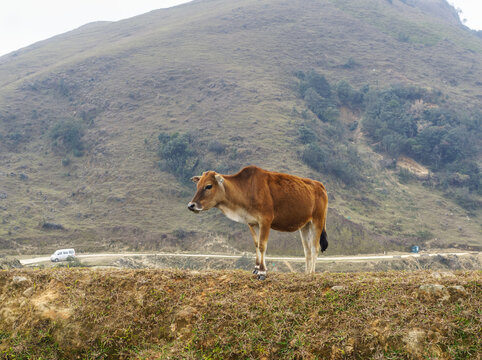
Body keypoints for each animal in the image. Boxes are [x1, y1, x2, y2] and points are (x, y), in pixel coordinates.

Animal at [188, 165, 328, 280]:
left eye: (208, 186)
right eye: (198, 185)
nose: (191, 205)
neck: (247, 189)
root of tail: (320, 186)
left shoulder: (265, 221)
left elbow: (262, 246)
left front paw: (262, 272)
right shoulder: (252, 223)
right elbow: (256, 244)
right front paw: (256, 268)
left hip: (318, 221)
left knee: (315, 248)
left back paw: (312, 273)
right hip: (304, 226)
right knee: (307, 250)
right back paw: (307, 273)